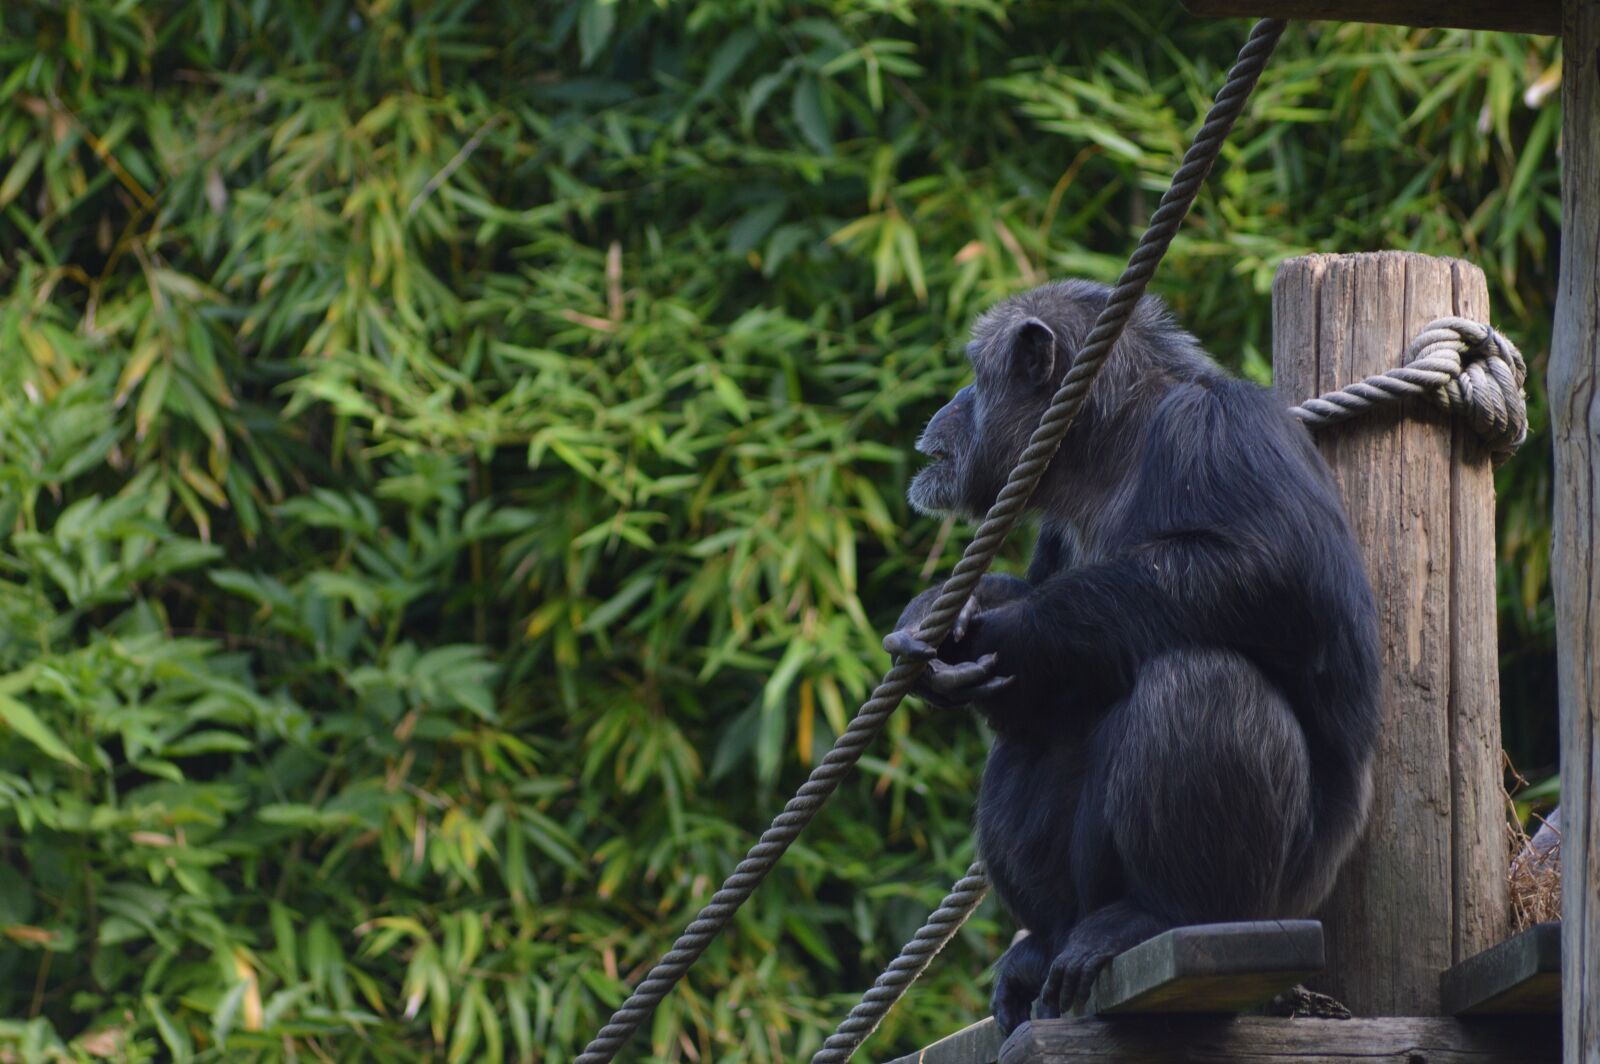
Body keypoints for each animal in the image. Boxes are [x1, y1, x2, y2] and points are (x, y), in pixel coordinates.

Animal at [886, 280, 1380, 1034]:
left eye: (974, 372)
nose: (951, 404)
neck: (1107, 445)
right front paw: (934, 614)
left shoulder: (1223, 427)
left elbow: (1273, 568)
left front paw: (1000, 631)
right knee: (1026, 740)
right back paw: (1043, 947)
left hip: (1286, 892)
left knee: (1201, 678)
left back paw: (1157, 916)